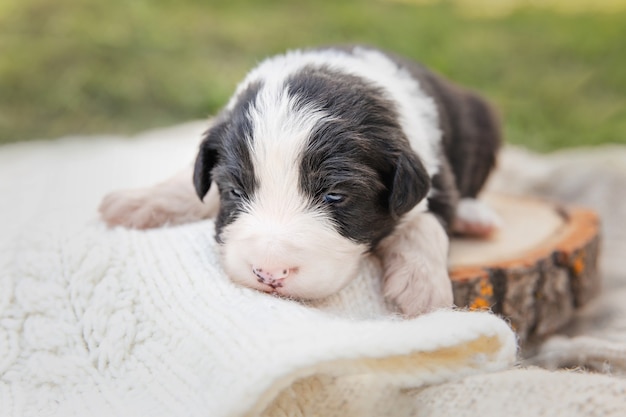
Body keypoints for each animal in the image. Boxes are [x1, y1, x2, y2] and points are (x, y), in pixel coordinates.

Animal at [98, 46, 498, 316]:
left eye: (335, 196)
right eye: (234, 191)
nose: (269, 274)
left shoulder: (435, 173)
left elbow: (426, 222)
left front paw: (422, 288)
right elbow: (188, 181)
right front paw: (136, 202)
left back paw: (476, 218)